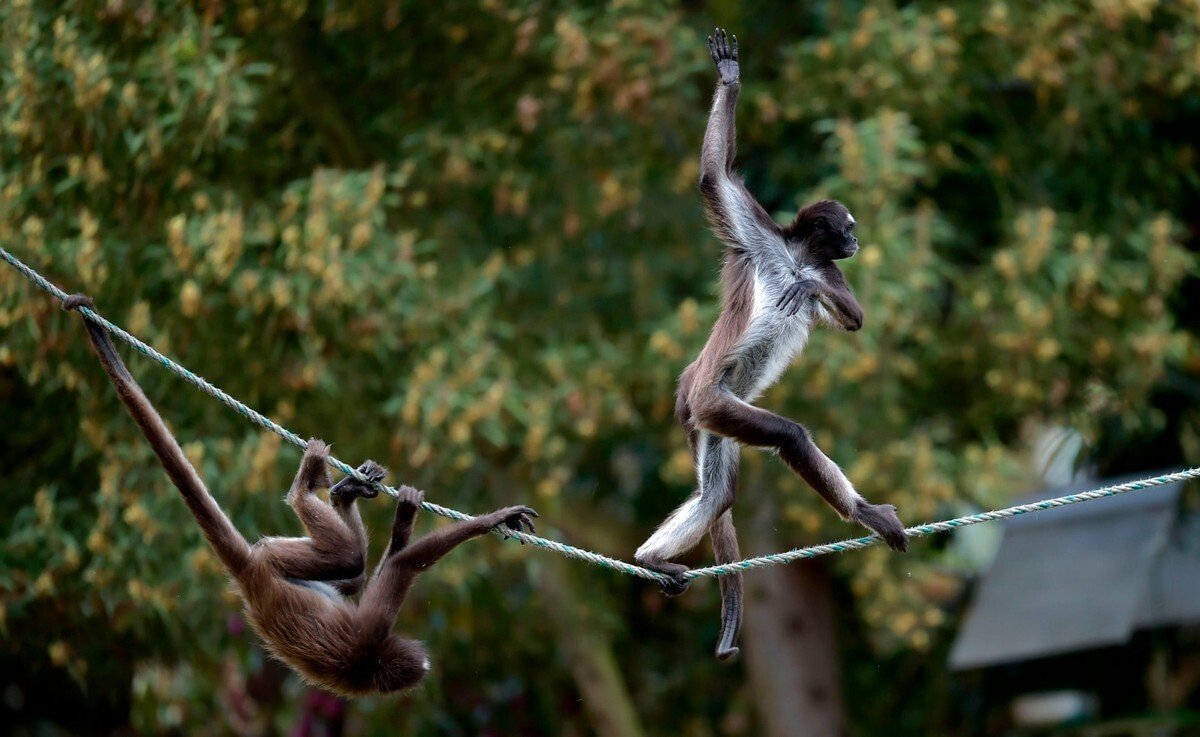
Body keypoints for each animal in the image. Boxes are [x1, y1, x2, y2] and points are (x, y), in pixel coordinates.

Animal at [63, 294, 538, 696]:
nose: (427, 661)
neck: (369, 669)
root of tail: (252, 579)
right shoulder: (372, 636)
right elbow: (404, 565)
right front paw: (487, 518)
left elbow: (387, 569)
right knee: (353, 562)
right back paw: (312, 486)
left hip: (276, 559)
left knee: (353, 572)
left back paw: (334, 492)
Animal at [634, 30, 908, 661]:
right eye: (848, 226)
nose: (857, 241)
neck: (796, 256)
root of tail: (692, 386)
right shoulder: (760, 238)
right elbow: (714, 178)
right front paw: (730, 79)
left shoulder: (829, 271)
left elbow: (854, 318)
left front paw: (806, 289)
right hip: (715, 399)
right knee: (789, 438)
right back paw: (863, 511)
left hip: (717, 417)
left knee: (718, 492)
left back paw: (652, 556)